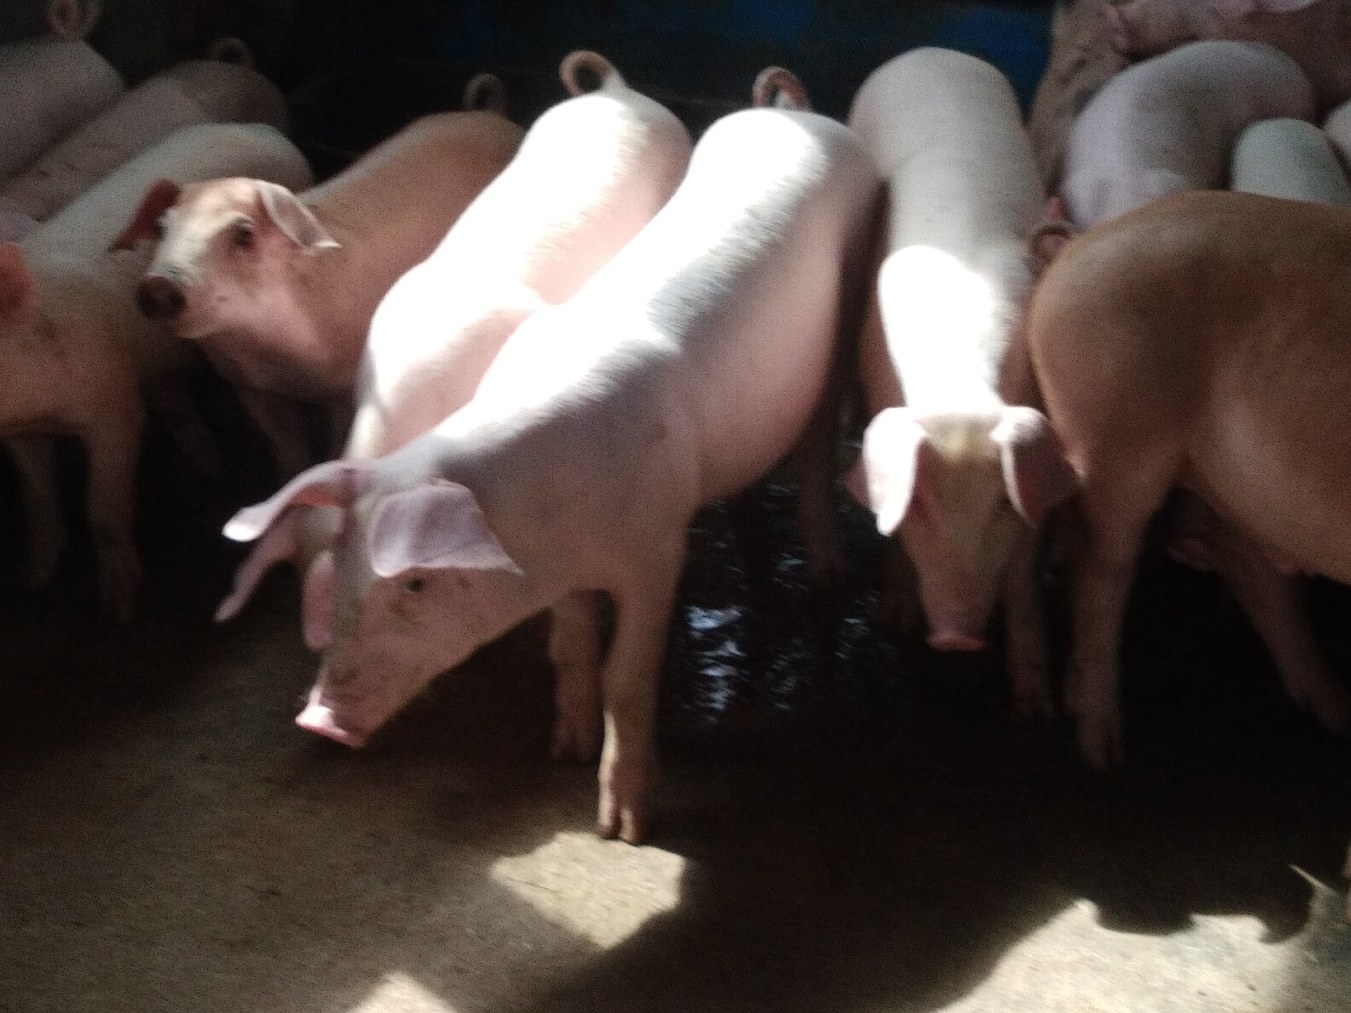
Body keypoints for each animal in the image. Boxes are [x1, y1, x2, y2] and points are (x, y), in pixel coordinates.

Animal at [0, 122, 312, 618]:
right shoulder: (21, 434)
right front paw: (36, 577)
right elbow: (38, 495)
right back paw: (210, 467)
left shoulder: (114, 407)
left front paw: (119, 606)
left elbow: (101, 507)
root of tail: (258, 130)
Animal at [115, 88, 525, 477]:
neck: (265, 349)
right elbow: (285, 447)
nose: (158, 285)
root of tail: (490, 115)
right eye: (163, 227)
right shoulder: (250, 387)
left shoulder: (343, 390)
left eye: (244, 234)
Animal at [845, 47, 1078, 716]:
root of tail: (930, 52)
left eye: (1002, 503)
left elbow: (1024, 577)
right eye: (920, 502)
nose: (955, 638)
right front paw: (896, 622)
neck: (958, 395)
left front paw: (1036, 709)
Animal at [1025, 189, 1351, 767]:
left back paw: (1337, 713)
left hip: (1231, 485)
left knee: (1250, 567)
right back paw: (1103, 751)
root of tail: (1081, 244)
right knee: (1101, 571)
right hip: (1117, 442)